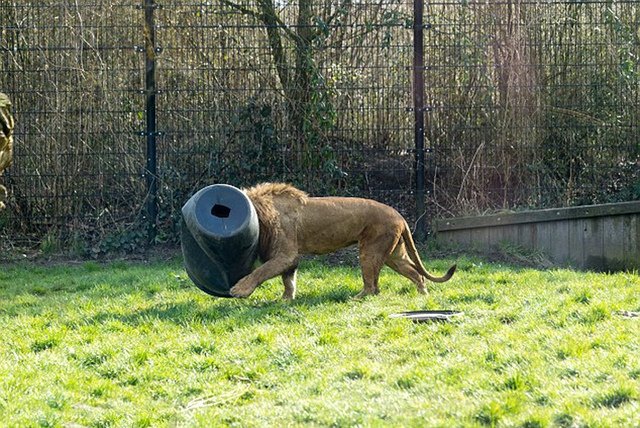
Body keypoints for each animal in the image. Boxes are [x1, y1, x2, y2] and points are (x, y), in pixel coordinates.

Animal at [229, 182, 456, 300]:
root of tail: (400, 216)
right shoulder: (289, 258)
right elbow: (288, 280)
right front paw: (286, 299)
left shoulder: (285, 254)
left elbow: (261, 271)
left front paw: (239, 290)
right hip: (394, 254)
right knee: (414, 273)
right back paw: (423, 294)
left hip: (370, 250)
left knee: (372, 287)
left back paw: (355, 298)